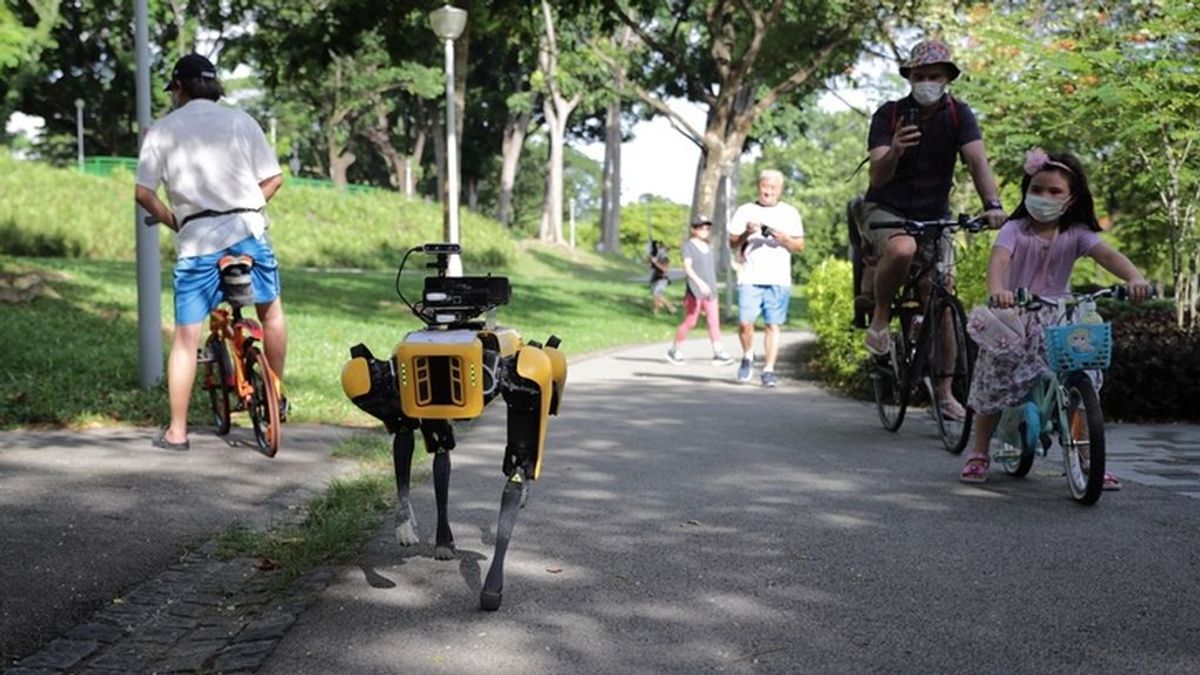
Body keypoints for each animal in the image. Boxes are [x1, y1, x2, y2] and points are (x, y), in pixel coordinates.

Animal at [338, 242, 561, 610]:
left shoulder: (525, 374)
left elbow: (518, 463)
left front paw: (492, 585)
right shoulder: (385, 383)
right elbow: (403, 440)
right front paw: (404, 525)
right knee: (440, 451)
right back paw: (443, 539)